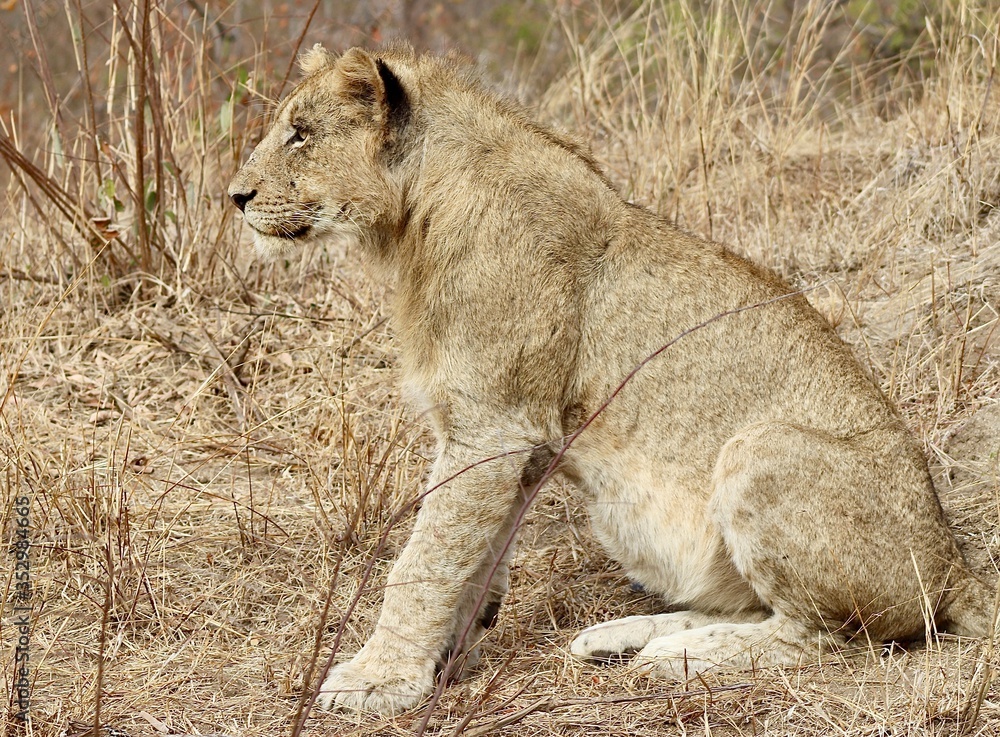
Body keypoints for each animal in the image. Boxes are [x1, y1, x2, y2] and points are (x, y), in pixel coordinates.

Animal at [228, 44, 994, 715]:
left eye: (299, 134)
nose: (235, 196)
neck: (416, 213)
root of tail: (955, 563)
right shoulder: (521, 439)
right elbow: (478, 555)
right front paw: (451, 652)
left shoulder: (491, 424)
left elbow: (425, 560)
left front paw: (376, 679)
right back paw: (622, 637)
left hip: (761, 447)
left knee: (824, 636)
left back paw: (683, 655)